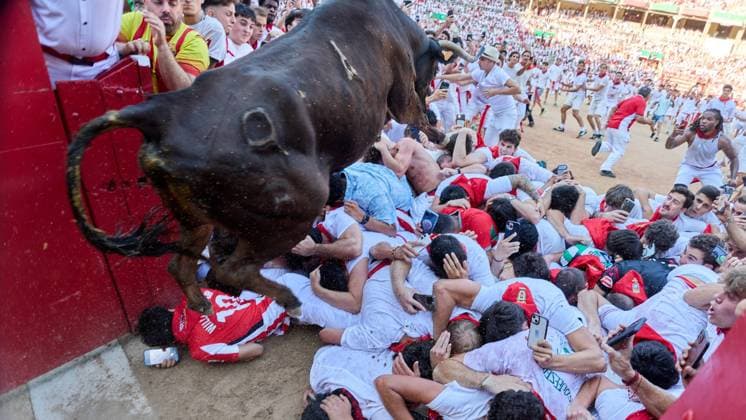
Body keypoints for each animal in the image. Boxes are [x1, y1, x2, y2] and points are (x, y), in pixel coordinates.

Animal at [66, 0, 474, 317]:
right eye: (434, 65)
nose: (433, 85)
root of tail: (162, 111)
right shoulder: (402, 92)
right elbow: (415, 115)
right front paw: (441, 134)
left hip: (195, 218)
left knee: (181, 264)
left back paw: (203, 304)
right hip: (293, 212)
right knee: (232, 270)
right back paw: (288, 300)